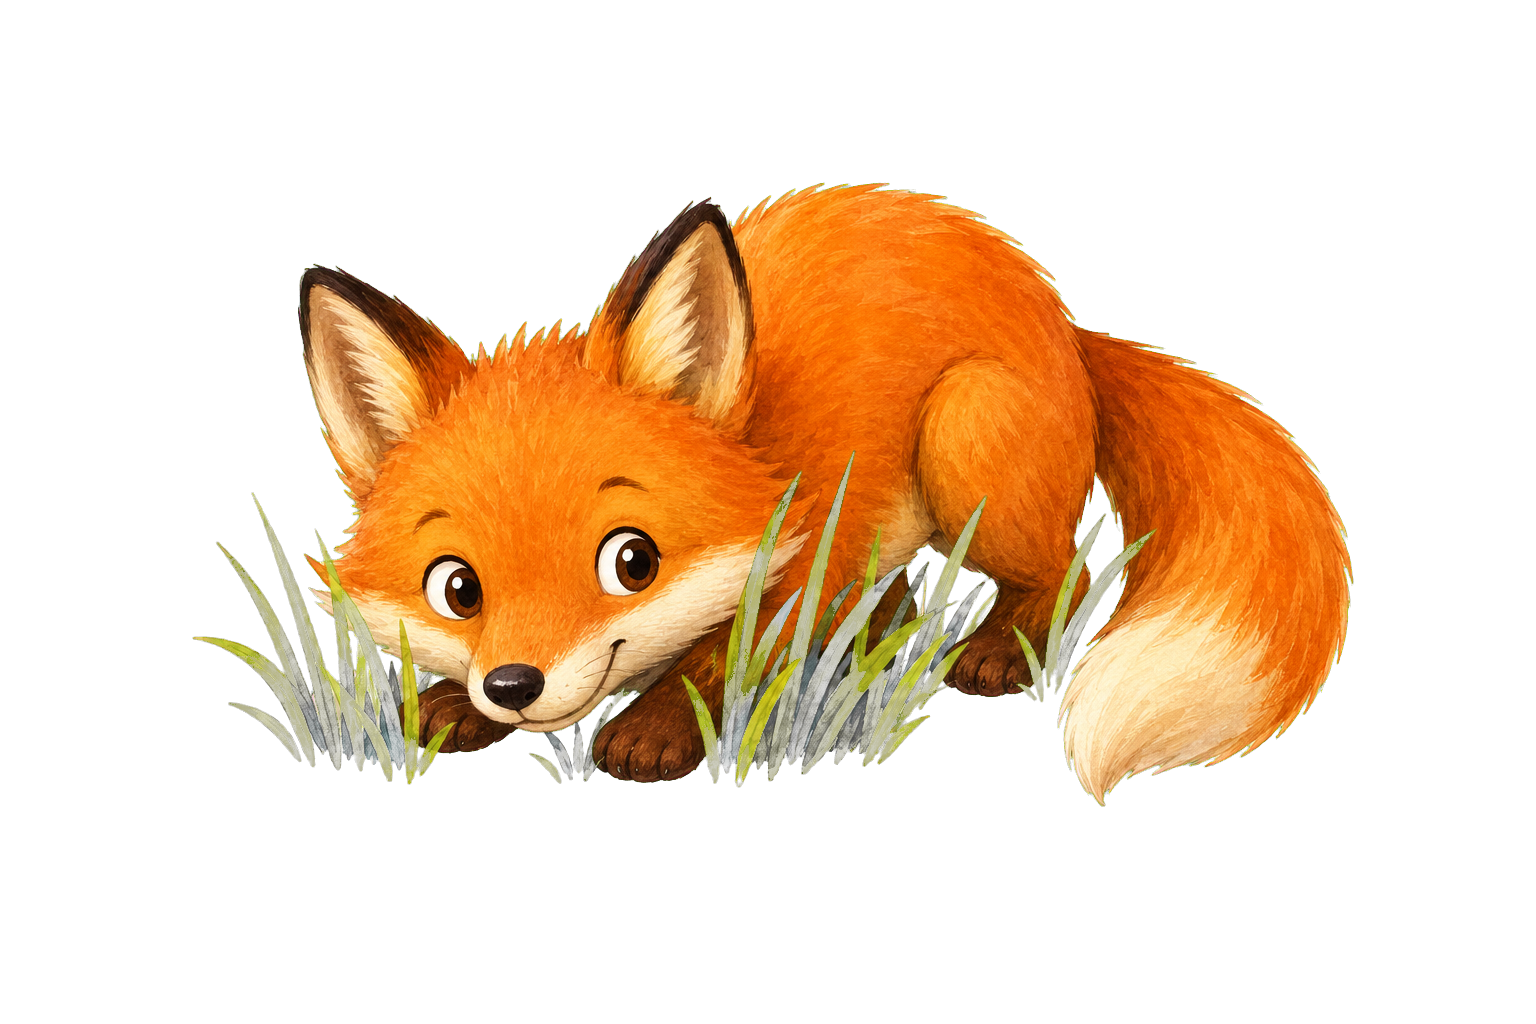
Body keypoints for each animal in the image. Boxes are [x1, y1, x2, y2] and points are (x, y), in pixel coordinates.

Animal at [298, 183, 1351, 802]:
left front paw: (657, 731)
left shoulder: (810, 562)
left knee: (1068, 573)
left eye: (631, 560)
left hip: (967, 440)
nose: (515, 683)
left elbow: (725, 664)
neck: (769, 449)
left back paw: (1001, 650)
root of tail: (1063, 322)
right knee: (902, 602)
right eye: (457, 588)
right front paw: (456, 711)